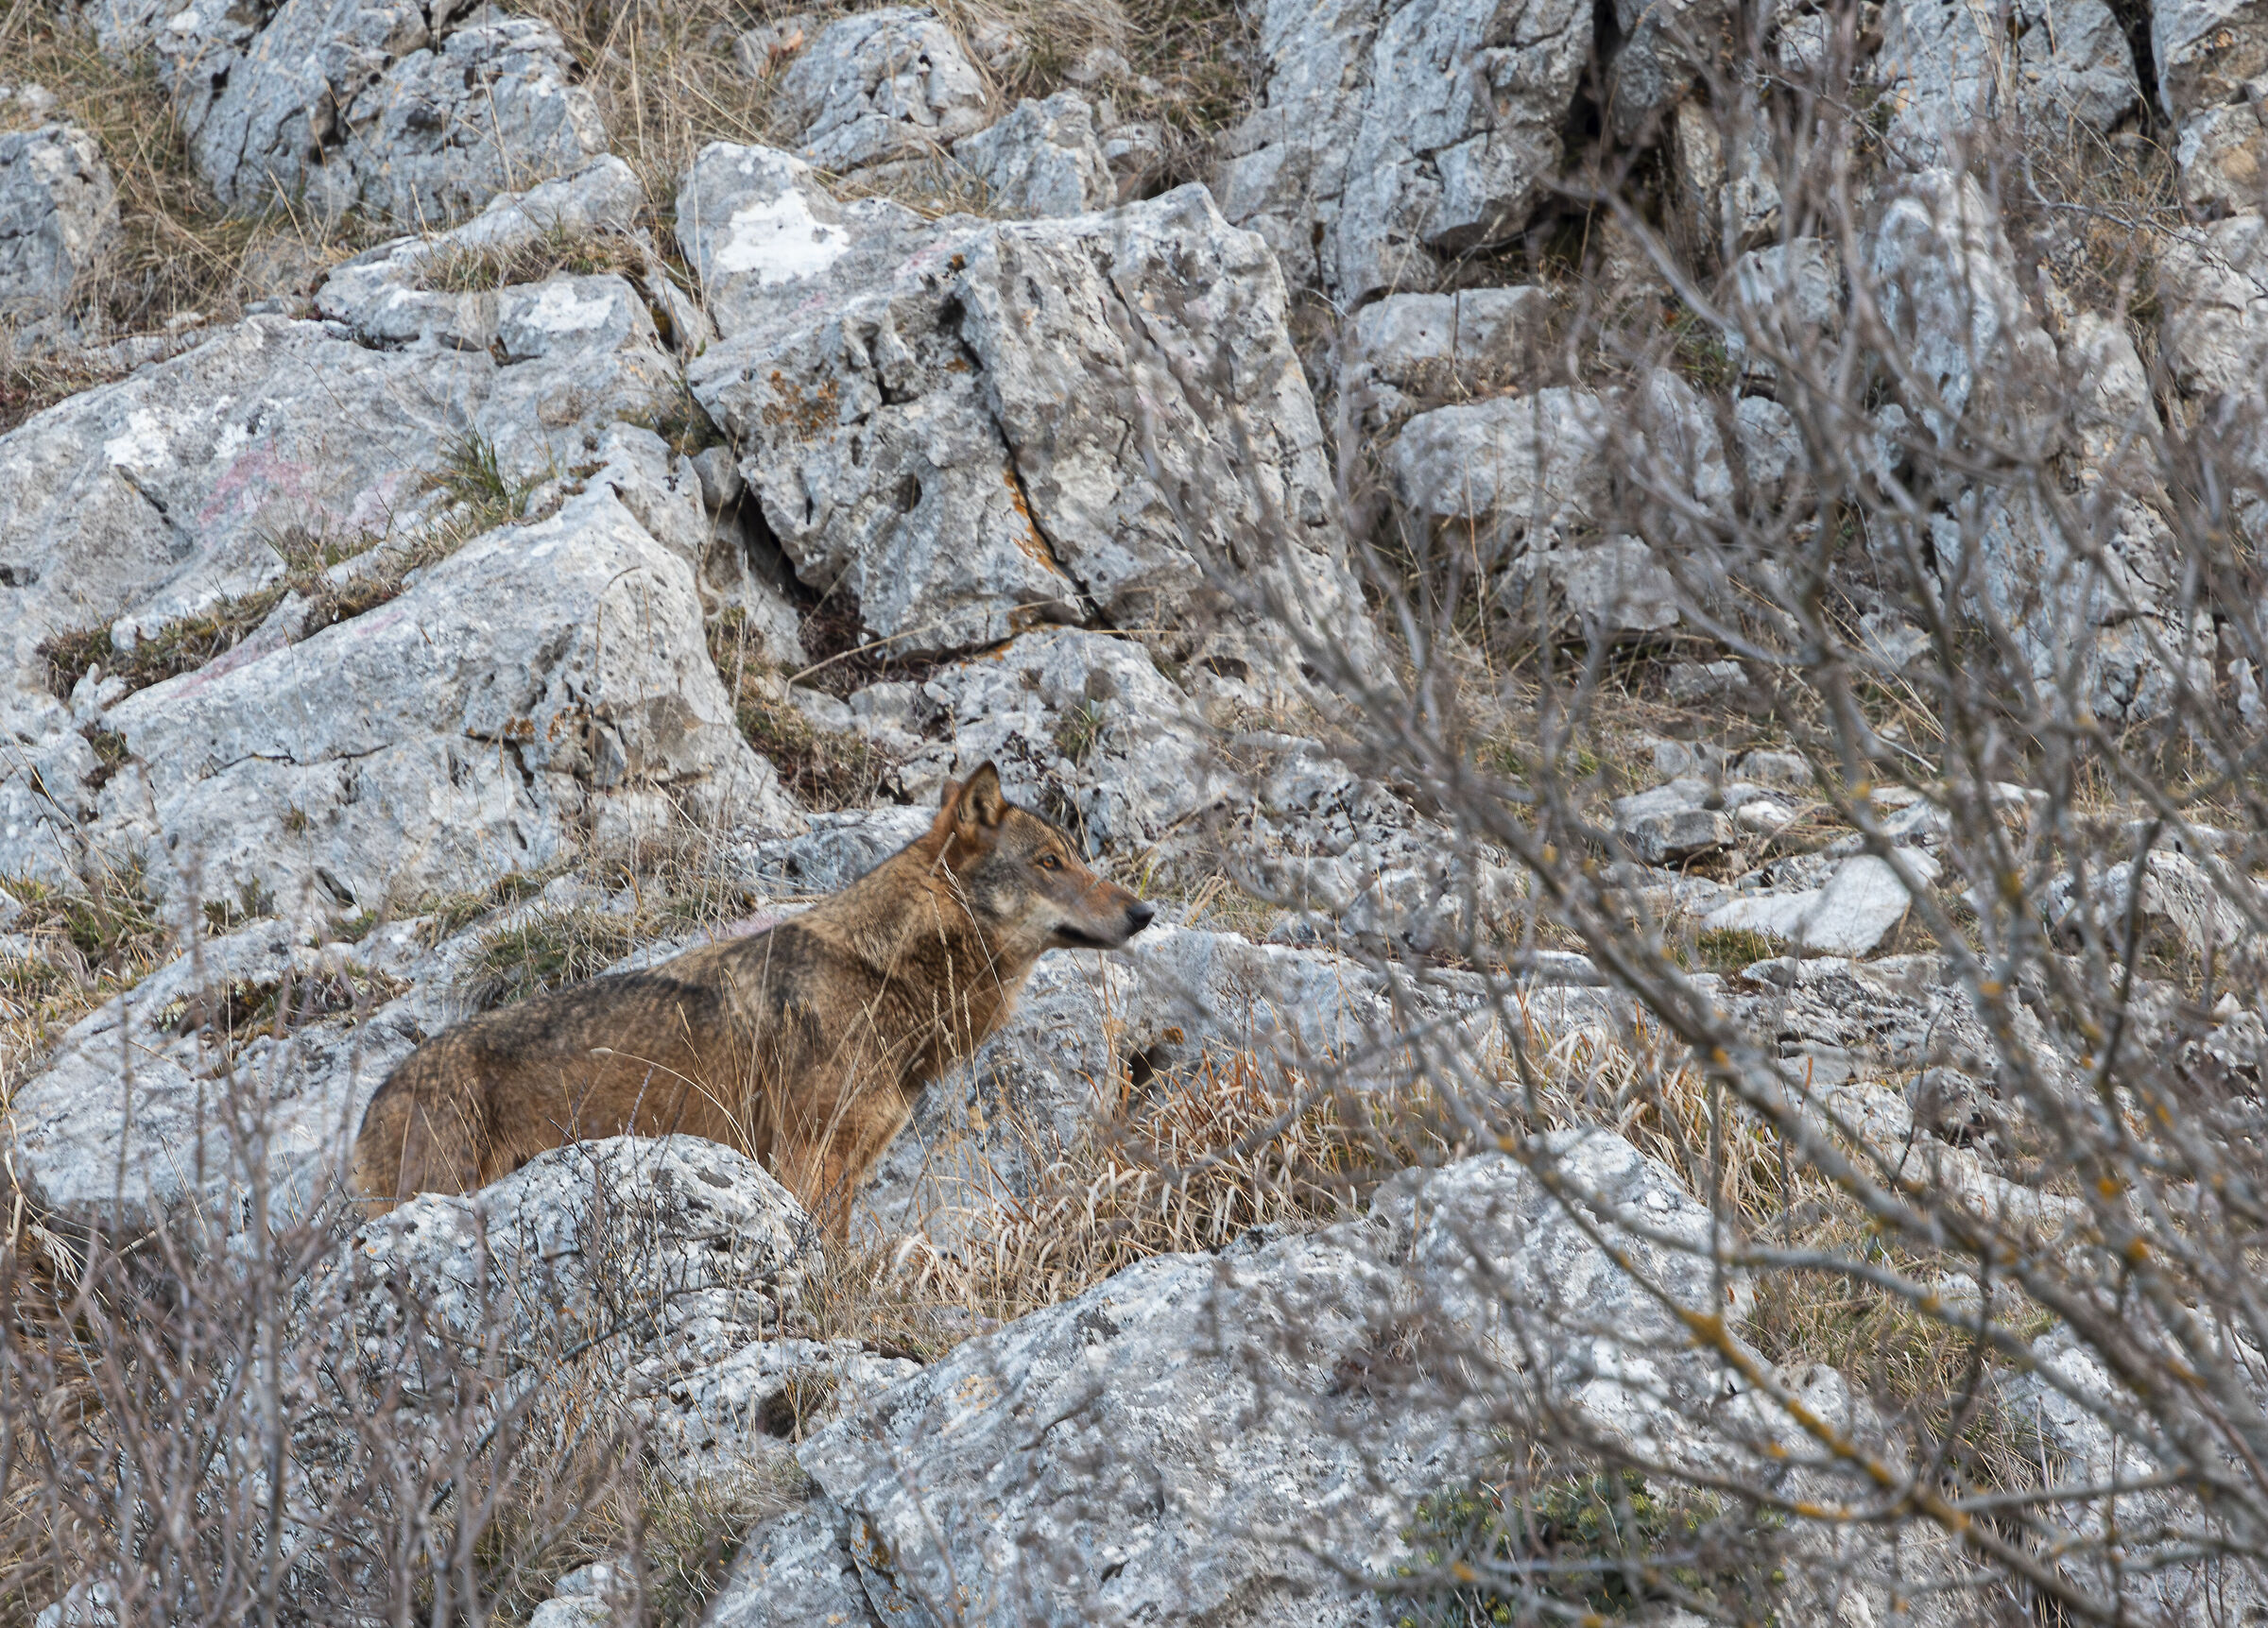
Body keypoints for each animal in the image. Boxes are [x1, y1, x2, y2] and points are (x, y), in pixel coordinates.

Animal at [348, 763, 1154, 1237]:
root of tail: (374, 1099)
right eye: (1051, 862)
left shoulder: (847, 1166)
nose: (1145, 911)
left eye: (1076, 857)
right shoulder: (806, 1159)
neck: (884, 973)